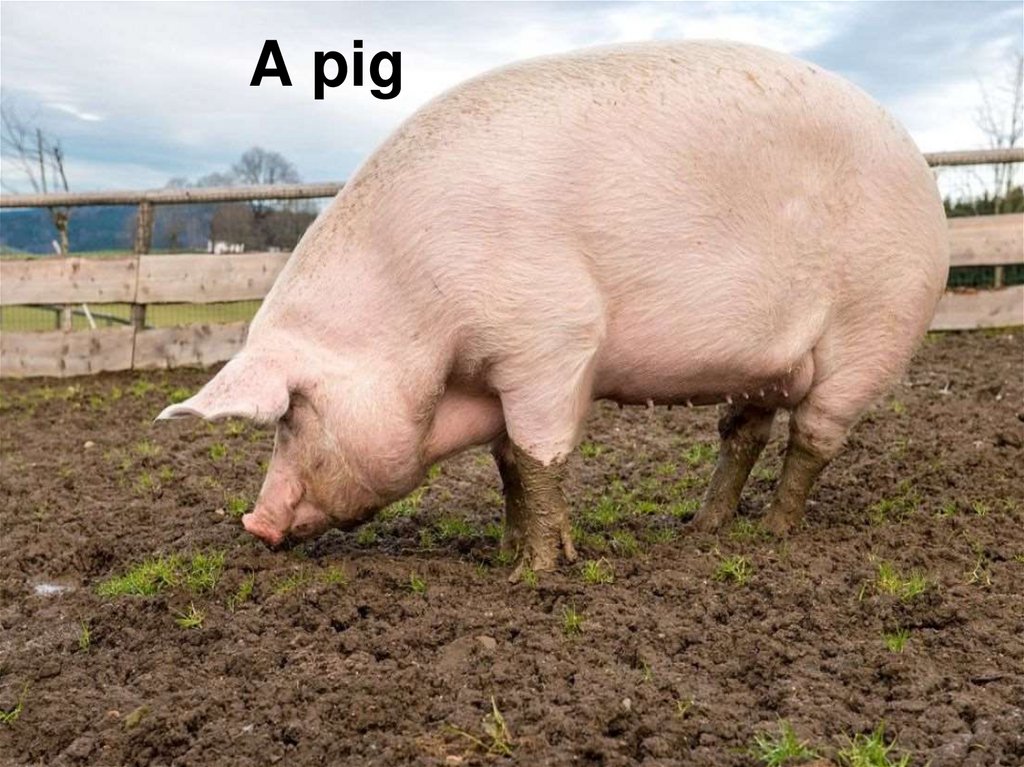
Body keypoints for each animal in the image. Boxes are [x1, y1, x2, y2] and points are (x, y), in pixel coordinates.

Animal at [158, 41, 949, 579]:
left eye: (290, 415)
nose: (253, 523)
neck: (412, 310)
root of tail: (921, 164)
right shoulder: (494, 372)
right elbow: (508, 458)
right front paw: (509, 550)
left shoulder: (553, 338)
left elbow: (540, 453)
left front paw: (535, 573)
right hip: (767, 363)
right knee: (744, 432)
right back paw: (701, 529)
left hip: (875, 326)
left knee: (814, 436)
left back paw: (773, 535)